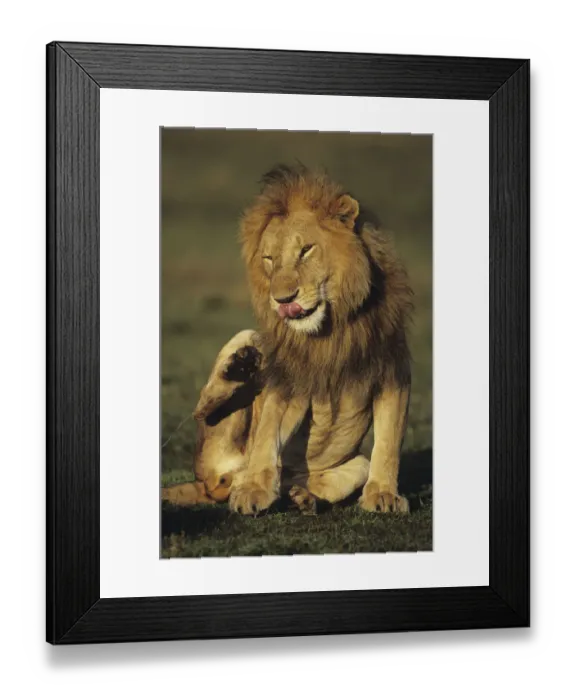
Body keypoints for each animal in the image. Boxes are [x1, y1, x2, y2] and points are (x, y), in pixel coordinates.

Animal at [162, 165, 413, 515]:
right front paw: (255, 492)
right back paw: (240, 370)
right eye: (269, 259)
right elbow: (269, 428)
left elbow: (389, 440)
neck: (333, 328)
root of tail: (211, 487)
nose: (282, 300)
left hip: (354, 463)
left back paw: (302, 498)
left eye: (306, 250)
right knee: (206, 409)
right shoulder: (289, 377)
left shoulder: (393, 369)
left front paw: (383, 495)